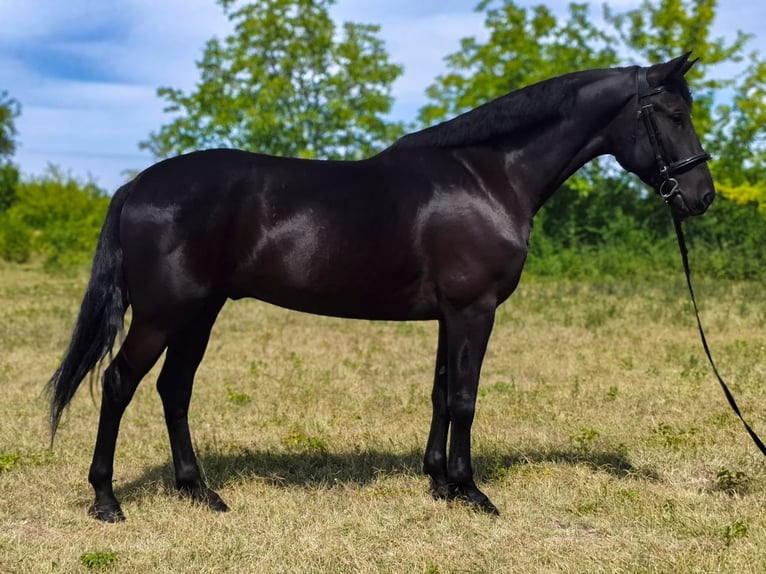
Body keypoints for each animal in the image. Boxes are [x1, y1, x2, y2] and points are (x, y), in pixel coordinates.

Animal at [48, 53, 714, 521]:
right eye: (674, 116)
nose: (701, 196)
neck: (489, 176)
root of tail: (136, 186)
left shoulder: (451, 314)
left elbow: (441, 393)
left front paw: (440, 483)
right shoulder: (474, 310)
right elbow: (465, 398)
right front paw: (473, 493)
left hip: (199, 313)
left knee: (173, 389)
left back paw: (199, 492)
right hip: (164, 314)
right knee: (119, 383)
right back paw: (107, 501)